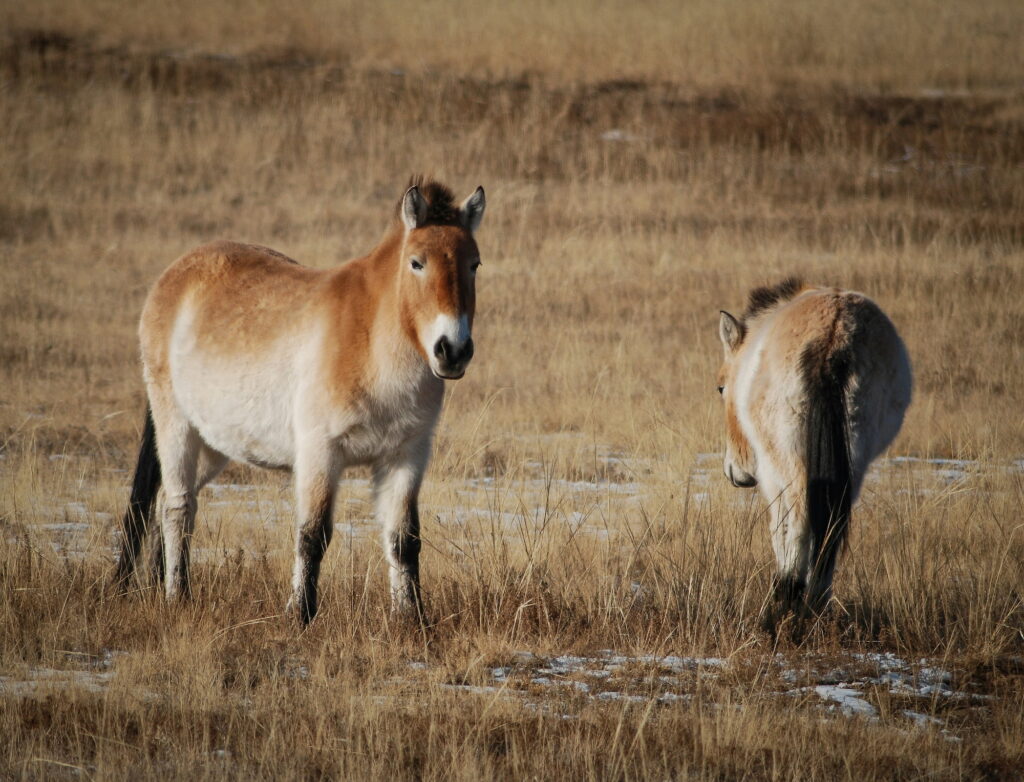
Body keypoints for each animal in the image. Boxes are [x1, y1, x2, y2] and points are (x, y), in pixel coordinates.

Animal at [113, 178, 486, 625]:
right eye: (417, 263)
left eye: (474, 264)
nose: (452, 350)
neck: (371, 340)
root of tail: (174, 274)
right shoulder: (320, 453)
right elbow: (313, 535)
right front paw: (300, 616)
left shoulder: (406, 456)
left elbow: (403, 539)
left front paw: (412, 620)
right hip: (175, 426)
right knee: (177, 508)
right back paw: (176, 597)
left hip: (213, 444)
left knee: (163, 506)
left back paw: (156, 588)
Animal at [716, 278, 912, 623]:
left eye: (721, 387)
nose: (735, 473)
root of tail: (834, 335)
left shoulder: (772, 474)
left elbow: (779, 528)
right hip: (854, 458)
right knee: (832, 526)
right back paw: (815, 604)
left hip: (787, 461)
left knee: (798, 520)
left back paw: (784, 605)